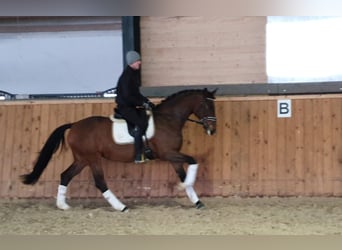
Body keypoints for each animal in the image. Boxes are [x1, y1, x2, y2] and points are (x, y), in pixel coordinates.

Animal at [20, 88, 216, 211]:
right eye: (206, 105)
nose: (213, 130)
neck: (168, 119)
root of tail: (74, 125)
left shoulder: (173, 156)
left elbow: (183, 173)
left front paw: (196, 200)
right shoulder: (168, 153)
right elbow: (193, 161)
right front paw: (185, 187)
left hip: (82, 159)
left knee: (65, 176)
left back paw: (63, 205)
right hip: (92, 158)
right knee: (100, 182)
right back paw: (121, 207)